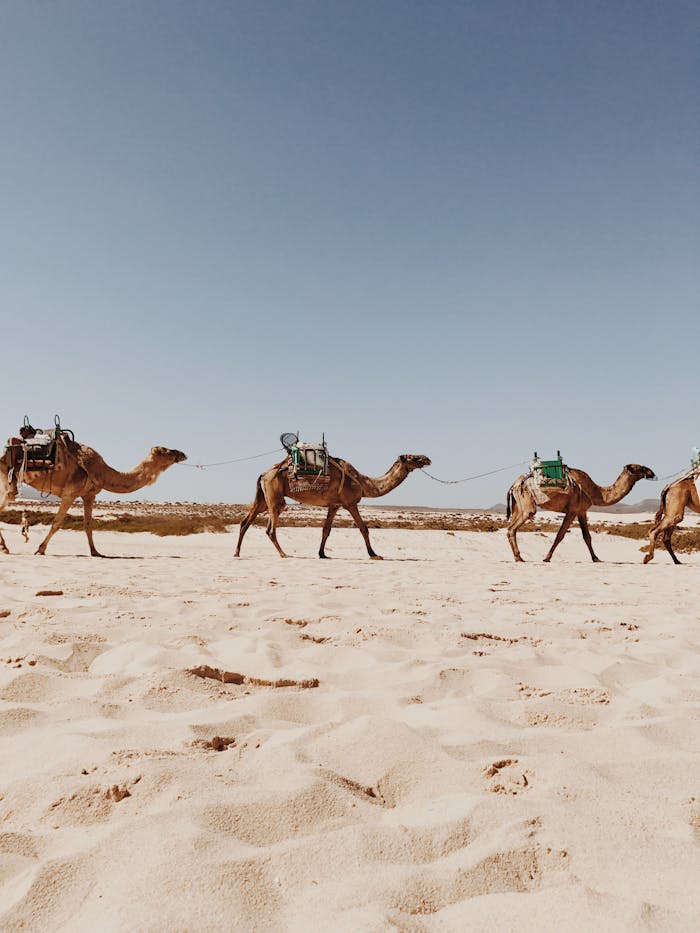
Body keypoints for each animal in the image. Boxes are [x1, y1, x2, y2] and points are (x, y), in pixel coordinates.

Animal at [0, 433, 186, 556]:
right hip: (7, 480)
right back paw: (5, 548)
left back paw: (5, 547)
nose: (182, 453)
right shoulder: (70, 493)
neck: (102, 472)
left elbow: (88, 524)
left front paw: (95, 551)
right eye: (167, 450)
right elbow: (57, 522)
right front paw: (40, 549)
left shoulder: (89, 495)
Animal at [235, 453, 431, 559]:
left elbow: (326, 530)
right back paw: (283, 554)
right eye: (413, 457)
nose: (427, 459)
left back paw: (237, 553)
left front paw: (322, 554)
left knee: (245, 521)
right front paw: (374, 554)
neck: (364, 483)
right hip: (275, 496)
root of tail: (264, 474)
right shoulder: (350, 503)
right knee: (270, 526)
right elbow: (363, 528)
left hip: (263, 497)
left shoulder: (334, 505)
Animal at [506, 463, 655, 562]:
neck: (596, 492)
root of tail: (514, 484)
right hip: (527, 503)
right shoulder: (573, 510)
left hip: (518, 505)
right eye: (640, 467)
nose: (652, 472)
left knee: (510, 528)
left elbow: (587, 536)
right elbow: (560, 535)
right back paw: (518, 558)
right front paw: (547, 558)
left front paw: (596, 558)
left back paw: (518, 557)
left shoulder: (581, 511)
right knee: (516, 526)